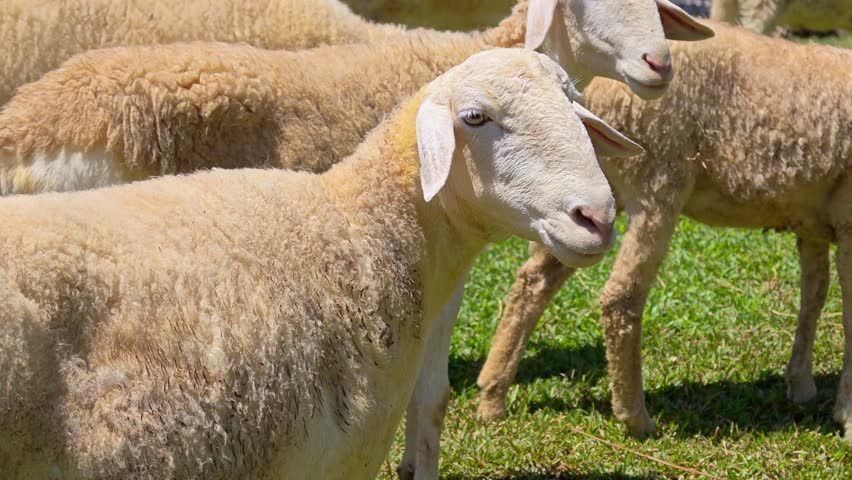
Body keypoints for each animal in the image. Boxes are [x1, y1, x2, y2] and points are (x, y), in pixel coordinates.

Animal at [475, 20, 852, 441]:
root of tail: (591, 91)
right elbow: (846, 314)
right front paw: (846, 415)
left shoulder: (813, 223)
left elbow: (813, 295)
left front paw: (800, 384)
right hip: (659, 179)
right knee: (621, 296)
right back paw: (634, 417)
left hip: (583, 197)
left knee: (532, 282)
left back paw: (492, 397)